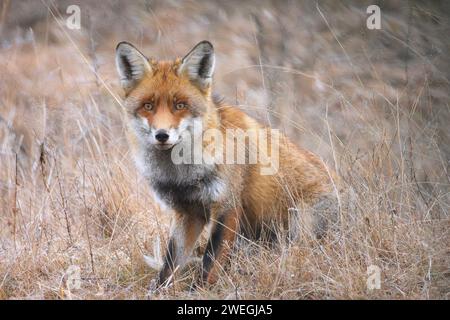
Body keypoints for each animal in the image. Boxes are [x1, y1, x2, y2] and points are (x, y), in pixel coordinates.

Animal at [116, 40, 338, 288]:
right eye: (148, 106)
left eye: (180, 105)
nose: (162, 135)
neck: (183, 174)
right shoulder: (187, 212)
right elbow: (170, 264)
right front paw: (159, 291)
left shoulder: (226, 206)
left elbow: (210, 261)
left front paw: (201, 291)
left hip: (300, 224)